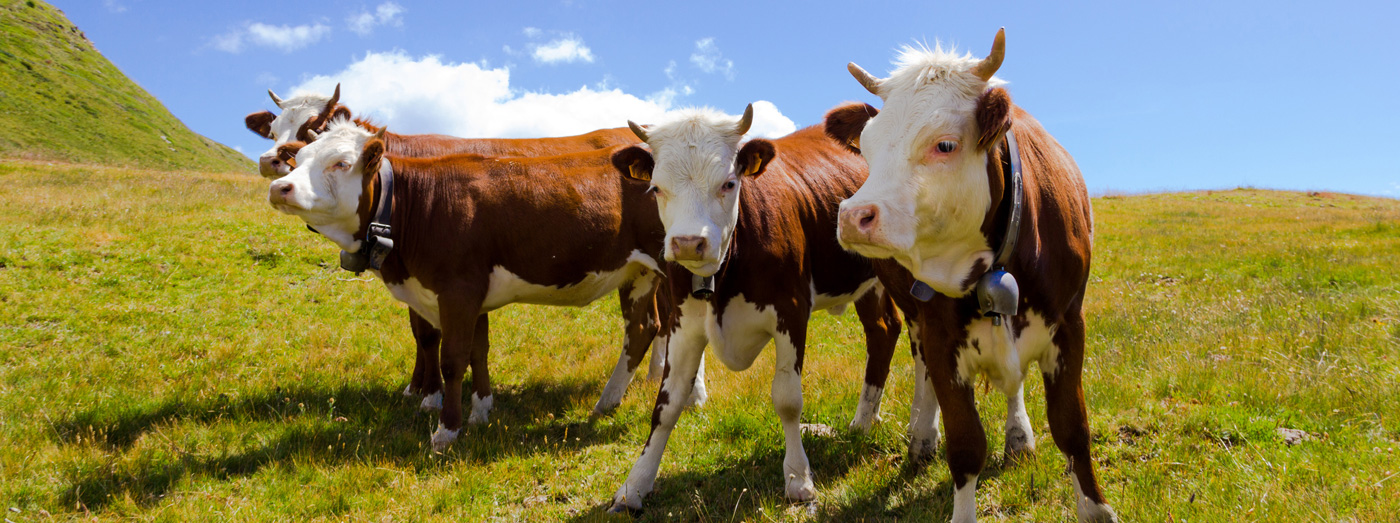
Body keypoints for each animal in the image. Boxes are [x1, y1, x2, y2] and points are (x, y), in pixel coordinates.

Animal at [267, 117, 688, 450]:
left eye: (341, 163)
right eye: (299, 160)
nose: (279, 187)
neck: (417, 205)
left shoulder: (458, 291)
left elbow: (452, 359)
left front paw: (446, 431)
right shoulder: (470, 296)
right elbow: (477, 351)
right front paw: (481, 410)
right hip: (637, 273)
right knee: (642, 328)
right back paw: (607, 401)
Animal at [607, 104, 901, 511]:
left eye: (729, 183)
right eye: (656, 188)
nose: (688, 243)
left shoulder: (791, 312)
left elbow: (788, 400)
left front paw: (798, 479)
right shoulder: (682, 323)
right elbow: (667, 406)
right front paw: (634, 486)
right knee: (883, 331)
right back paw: (863, 422)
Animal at [823, 29, 1120, 523]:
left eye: (945, 145)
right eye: (866, 147)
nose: (853, 216)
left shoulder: (1069, 324)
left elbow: (1072, 427)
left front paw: (1095, 508)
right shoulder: (941, 335)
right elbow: (965, 445)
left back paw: (1018, 435)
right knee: (921, 364)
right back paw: (923, 435)